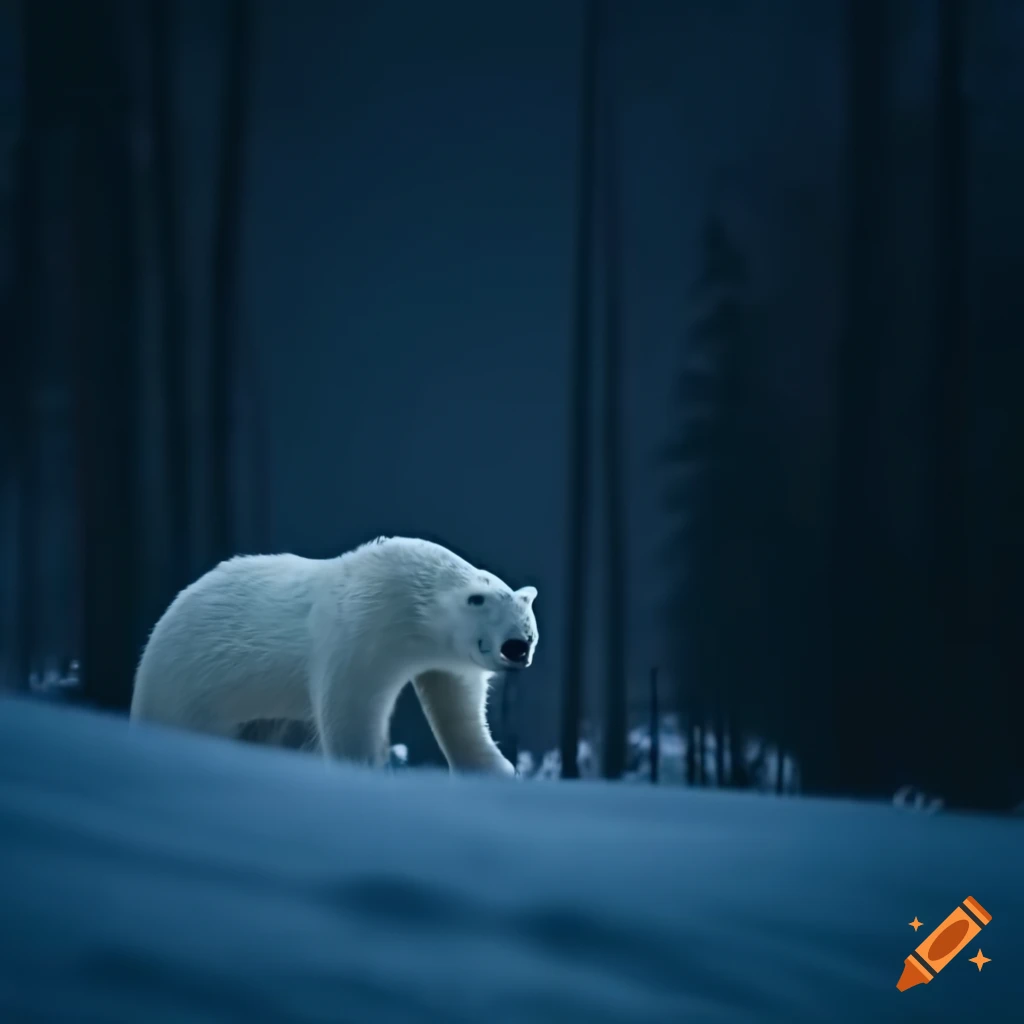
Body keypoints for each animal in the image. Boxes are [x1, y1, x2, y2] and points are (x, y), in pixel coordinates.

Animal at [129, 536, 539, 777]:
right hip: (182, 689)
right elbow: (350, 710)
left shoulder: (443, 655)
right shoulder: (361, 628)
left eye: (530, 633)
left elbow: (456, 698)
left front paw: (493, 767)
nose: (518, 650)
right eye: (509, 636)